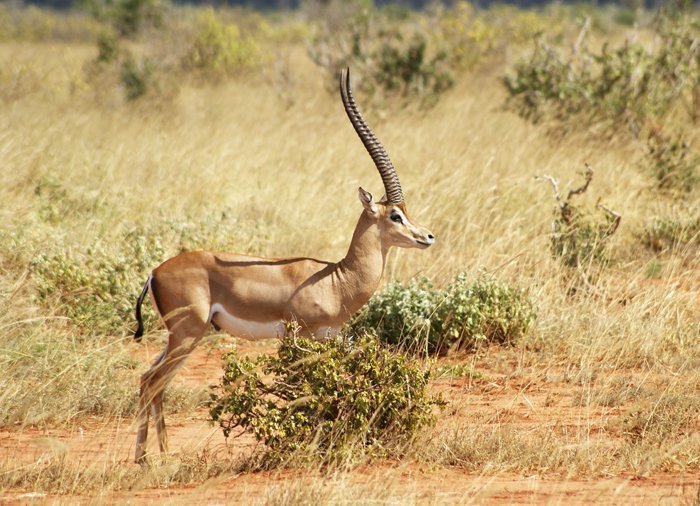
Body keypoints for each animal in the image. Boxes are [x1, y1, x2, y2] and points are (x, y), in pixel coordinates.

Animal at [132, 68, 435, 464]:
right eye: (395, 215)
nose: (427, 236)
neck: (336, 279)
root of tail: (155, 272)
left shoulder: (330, 337)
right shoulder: (300, 337)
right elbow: (302, 388)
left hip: (179, 338)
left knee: (148, 380)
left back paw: (154, 458)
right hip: (187, 335)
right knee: (153, 383)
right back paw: (151, 461)